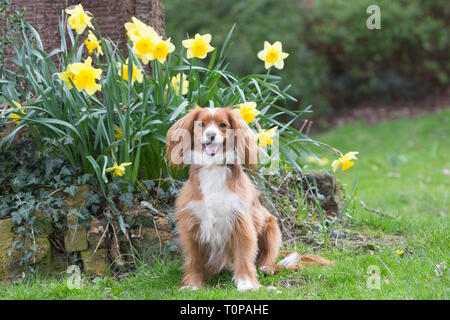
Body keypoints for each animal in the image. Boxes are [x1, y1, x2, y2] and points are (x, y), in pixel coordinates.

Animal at [165, 106, 330, 292]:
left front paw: (247, 284)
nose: (211, 135)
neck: (213, 168)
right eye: (201, 124)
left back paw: (268, 268)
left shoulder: (240, 221)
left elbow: (244, 255)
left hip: (272, 228)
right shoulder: (192, 224)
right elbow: (194, 260)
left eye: (223, 125)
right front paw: (192, 284)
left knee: (271, 261)